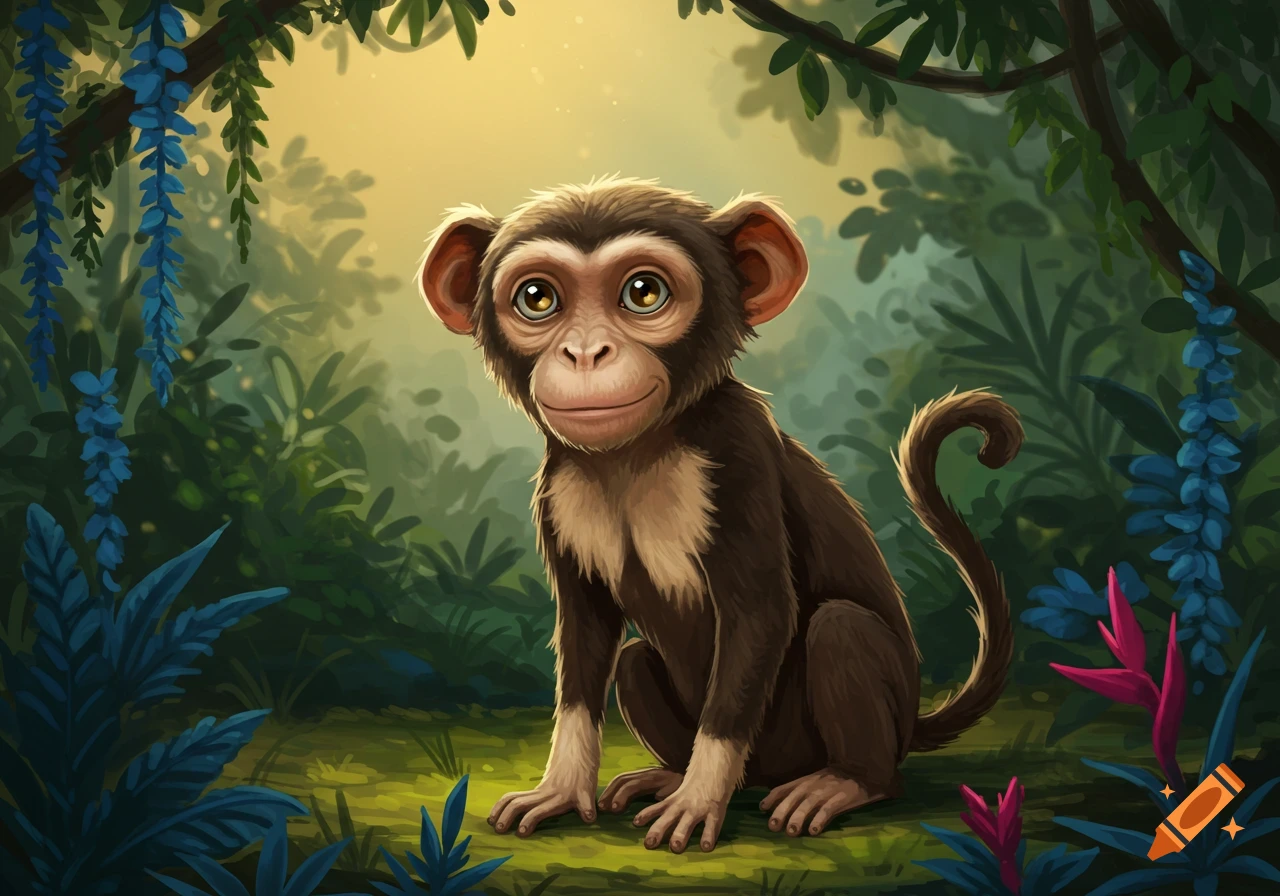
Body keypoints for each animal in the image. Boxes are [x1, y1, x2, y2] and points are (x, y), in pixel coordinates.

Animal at [416, 176, 1022, 855]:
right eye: (538, 298)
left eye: (643, 292)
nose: (585, 352)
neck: (636, 456)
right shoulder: (559, 487)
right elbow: (585, 632)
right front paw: (562, 787)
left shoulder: (740, 453)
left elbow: (760, 613)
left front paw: (700, 797)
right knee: (632, 661)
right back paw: (667, 773)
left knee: (840, 630)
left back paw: (845, 782)